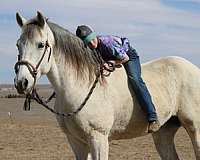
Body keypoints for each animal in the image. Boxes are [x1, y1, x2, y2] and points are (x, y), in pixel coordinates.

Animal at [14, 11, 200, 159]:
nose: (21, 82)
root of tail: (193, 68)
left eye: (40, 44)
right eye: (18, 44)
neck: (78, 87)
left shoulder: (98, 138)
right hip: (163, 132)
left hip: (194, 127)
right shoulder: (76, 141)